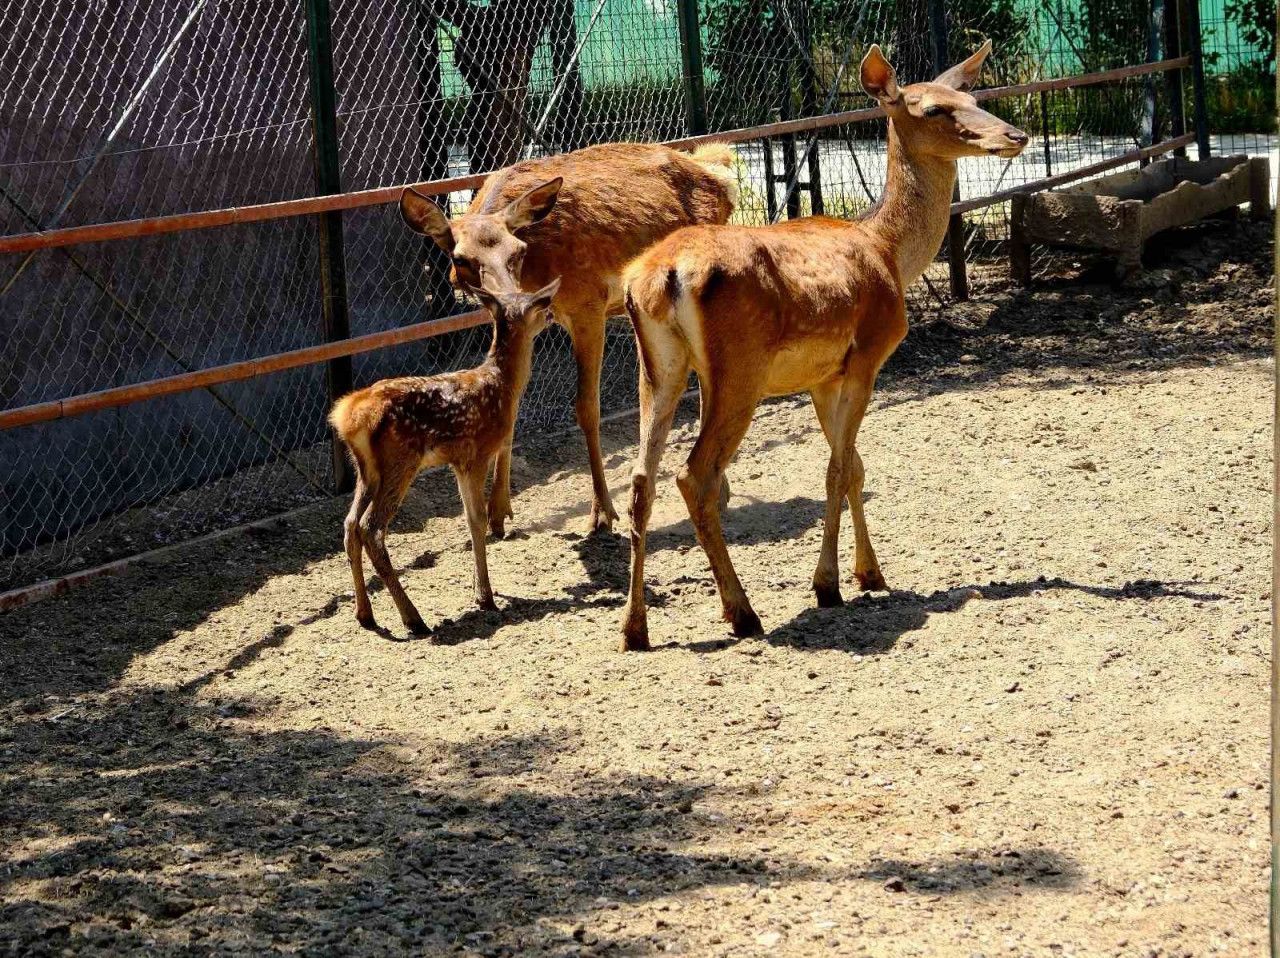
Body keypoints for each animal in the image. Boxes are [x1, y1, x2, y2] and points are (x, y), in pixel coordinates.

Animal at [335, 279, 560, 635]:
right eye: (537, 304)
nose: (552, 314)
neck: (502, 387)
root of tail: (349, 417)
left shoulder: (458, 462)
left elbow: (469, 519)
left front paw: (481, 590)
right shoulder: (478, 453)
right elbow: (478, 519)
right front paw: (486, 596)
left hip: (367, 470)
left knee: (349, 524)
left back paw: (365, 614)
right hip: (401, 460)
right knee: (371, 528)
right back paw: (413, 618)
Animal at [399, 140, 742, 537]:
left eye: (517, 251)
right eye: (461, 259)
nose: (511, 301)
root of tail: (720, 174)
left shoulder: (587, 305)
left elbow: (588, 408)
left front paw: (602, 512)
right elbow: (512, 397)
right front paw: (498, 513)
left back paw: (719, 490)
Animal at [619, 41, 1029, 648]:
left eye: (973, 98)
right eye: (934, 109)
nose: (1014, 135)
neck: (889, 253)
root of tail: (661, 275)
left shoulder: (820, 377)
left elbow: (854, 464)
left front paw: (872, 572)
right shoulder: (867, 355)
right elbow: (837, 468)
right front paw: (829, 584)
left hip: (658, 366)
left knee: (641, 479)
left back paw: (635, 628)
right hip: (737, 371)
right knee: (696, 475)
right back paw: (742, 612)